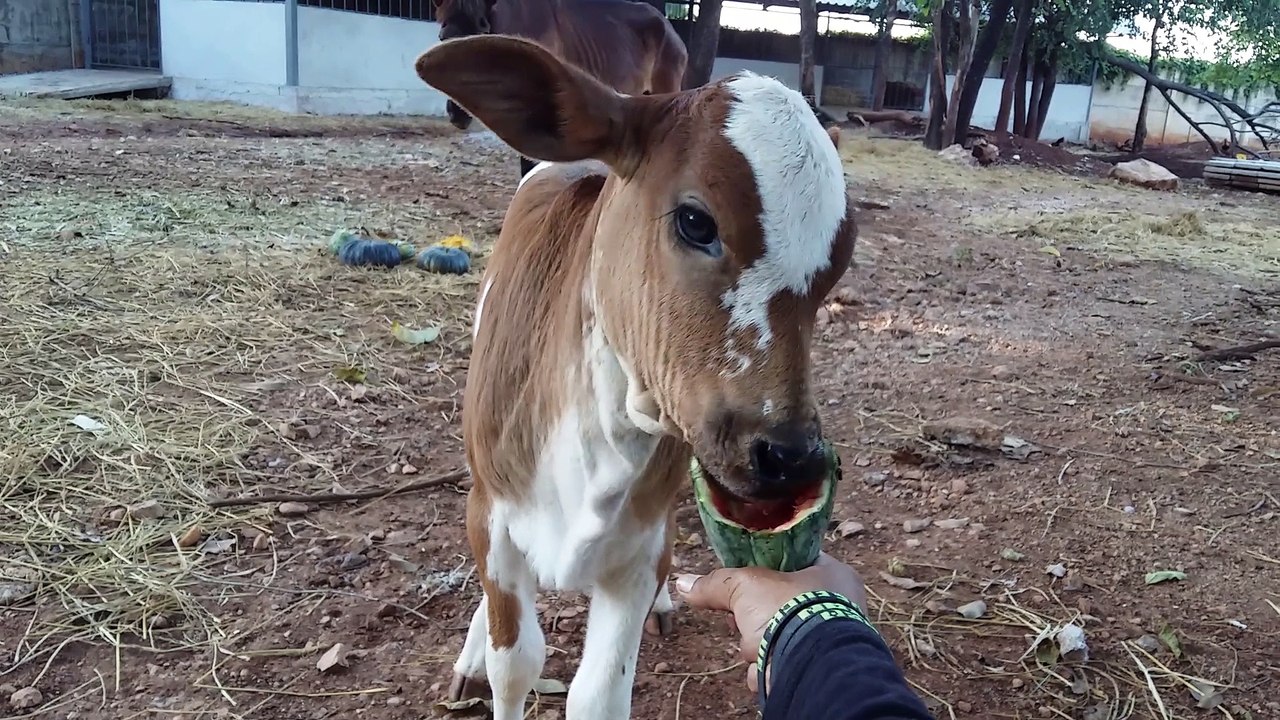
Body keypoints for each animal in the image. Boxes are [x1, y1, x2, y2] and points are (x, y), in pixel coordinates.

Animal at [414, 33, 856, 720]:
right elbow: (514, 663)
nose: (789, 457)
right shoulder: (492, 509)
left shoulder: (641, 545)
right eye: (696, 222)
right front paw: (485, 658)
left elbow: (599, 695)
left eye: (840, 261)